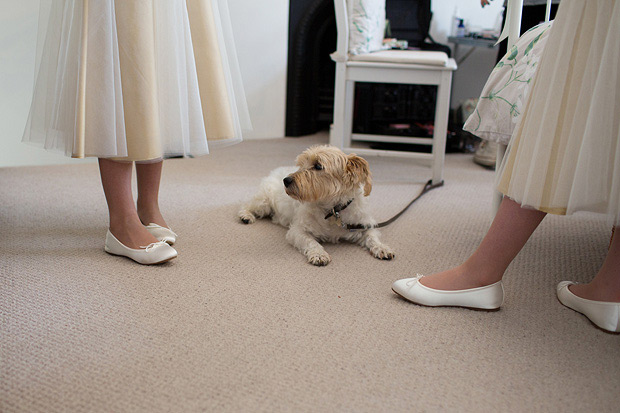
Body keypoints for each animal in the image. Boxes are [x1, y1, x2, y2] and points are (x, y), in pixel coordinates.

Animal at [237, 143, 392, 266]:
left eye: (318, 166)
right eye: (301, 164)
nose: (286, 180)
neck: (332, 211)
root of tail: (276, 171)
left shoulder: (364, 225)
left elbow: (372, 237)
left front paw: (382, 247)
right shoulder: (297, 231)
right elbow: (311, 242)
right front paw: (319, 254)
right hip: (263, 202)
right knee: (247, 205)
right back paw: (245, 216)